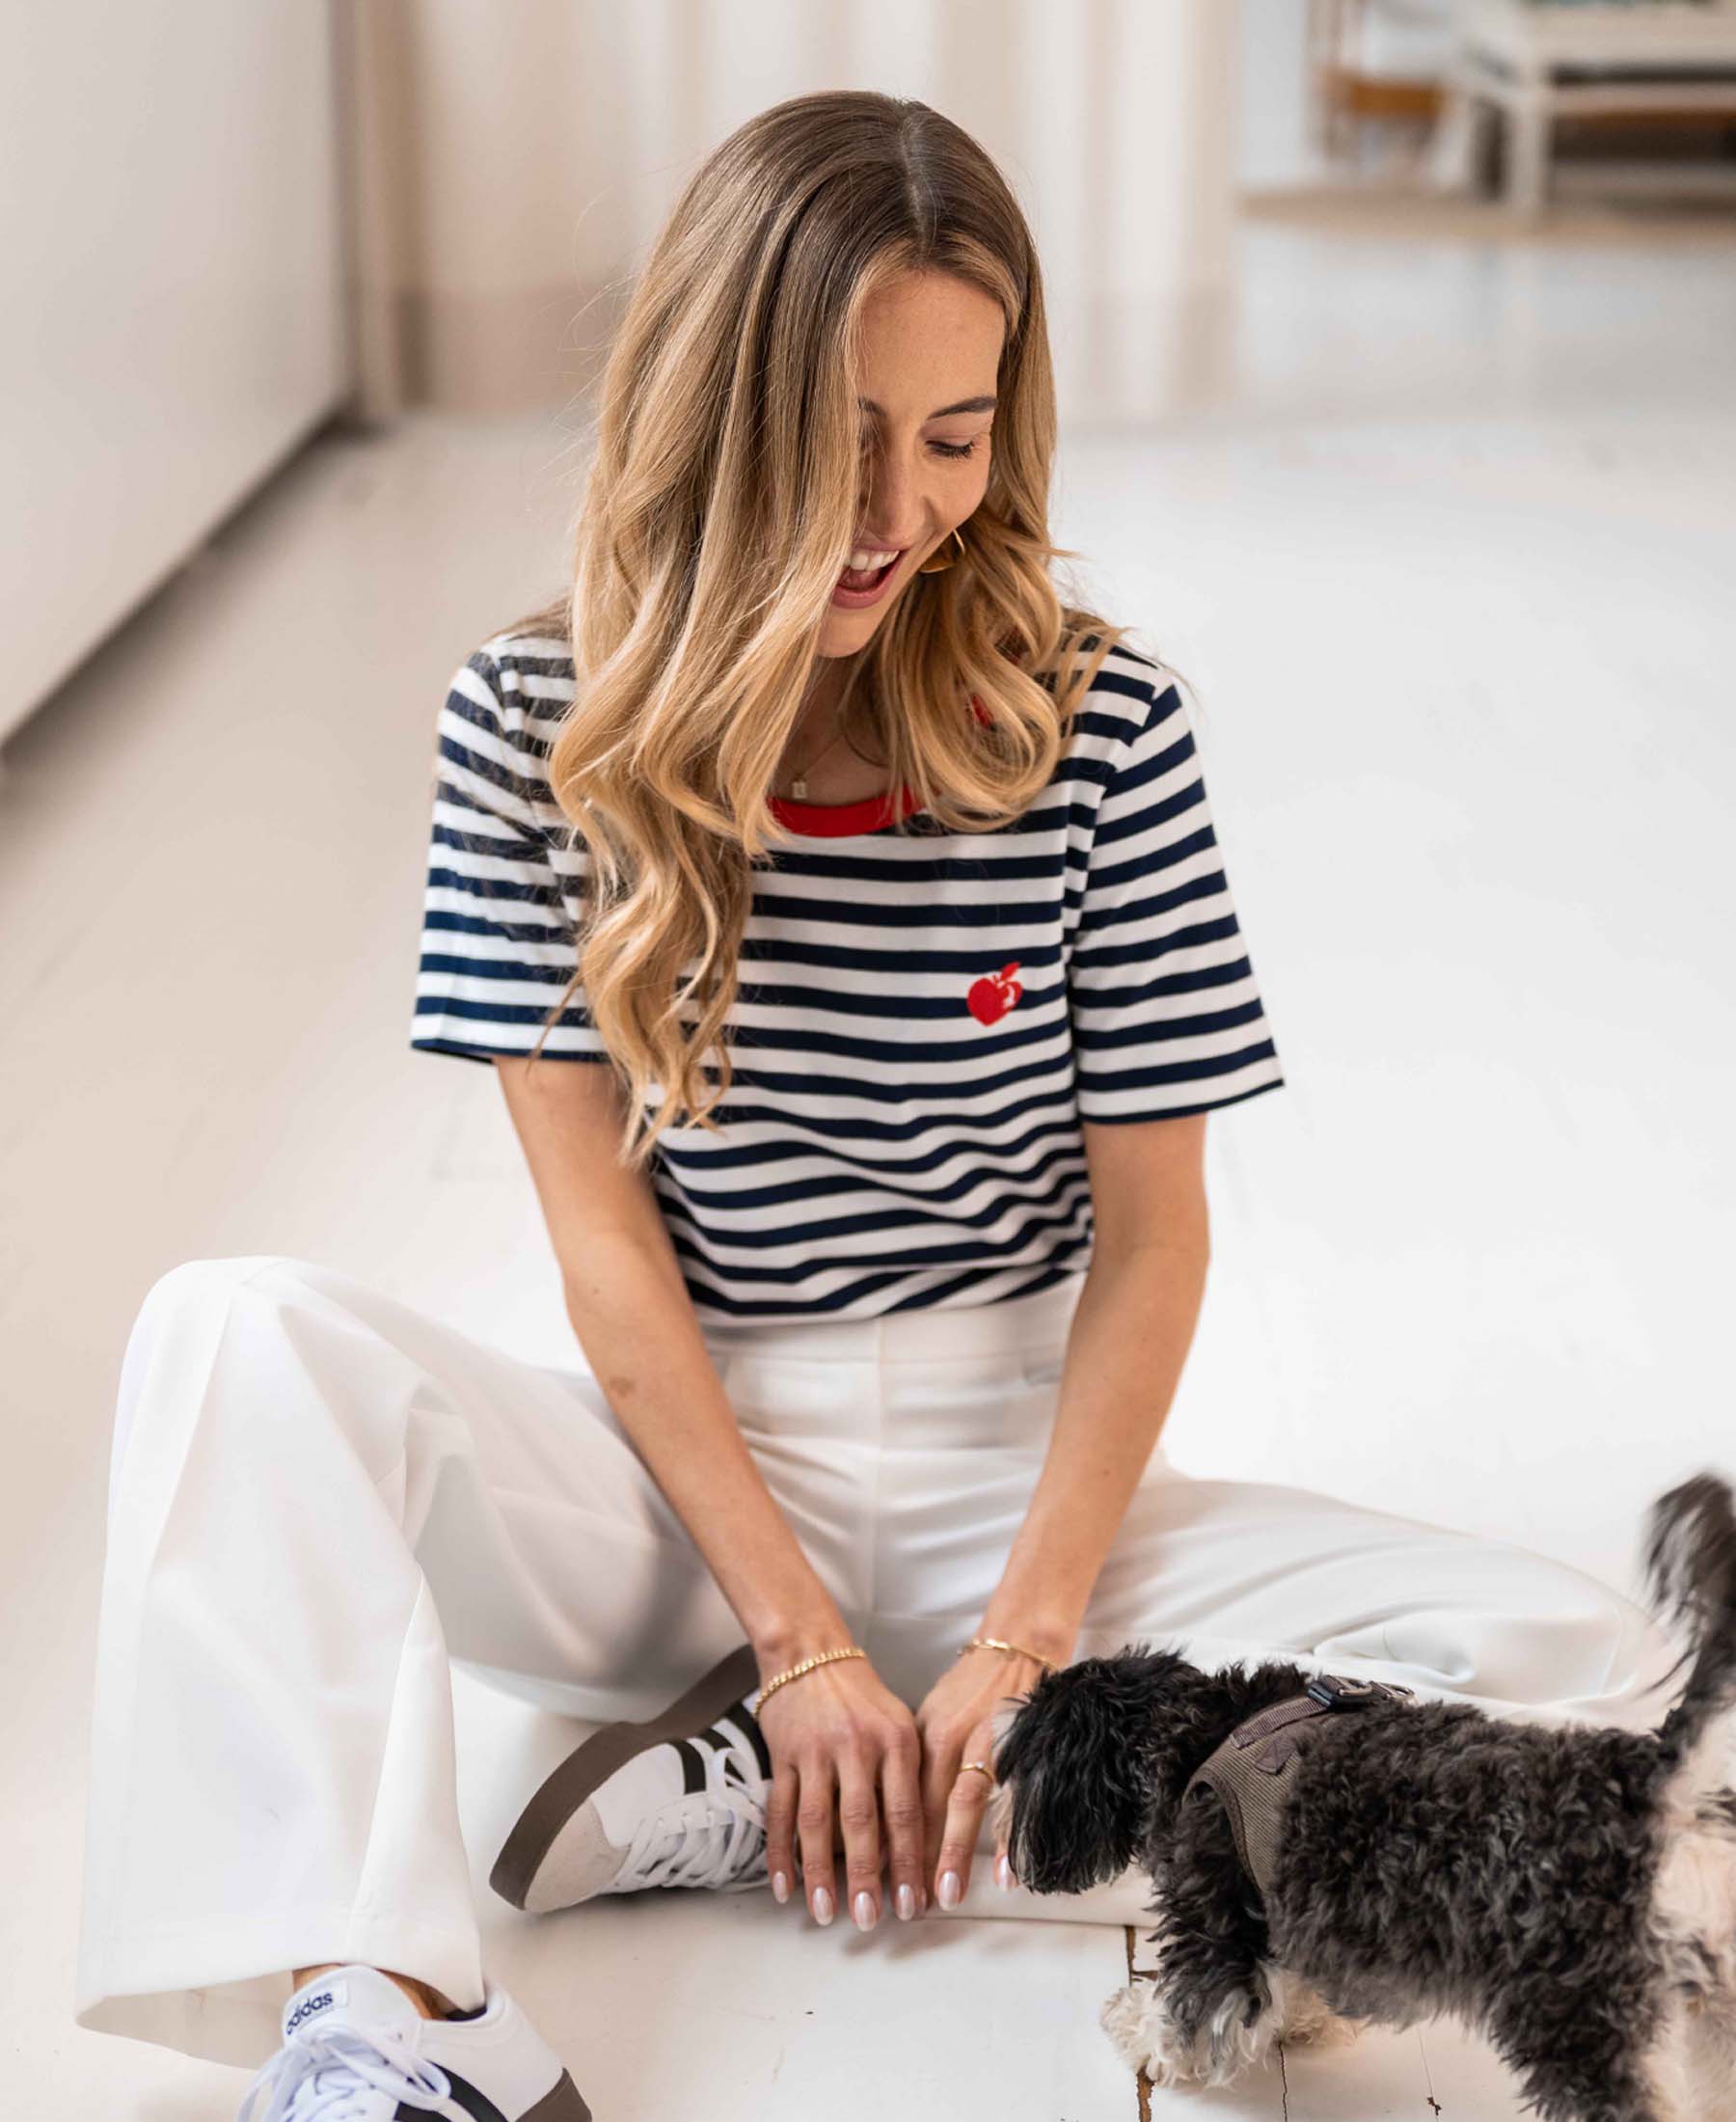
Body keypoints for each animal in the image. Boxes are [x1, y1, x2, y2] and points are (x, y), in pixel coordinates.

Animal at [980, 1477, 1731, 2122]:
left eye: (1012, 1763)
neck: (1199, 1730)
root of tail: (1661, 1786)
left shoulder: (1219, 1910)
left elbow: (1191, 2009)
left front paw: (1137, 2027)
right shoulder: (1289, 1903)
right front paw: (1309, 2021)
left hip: (1578, 2014)